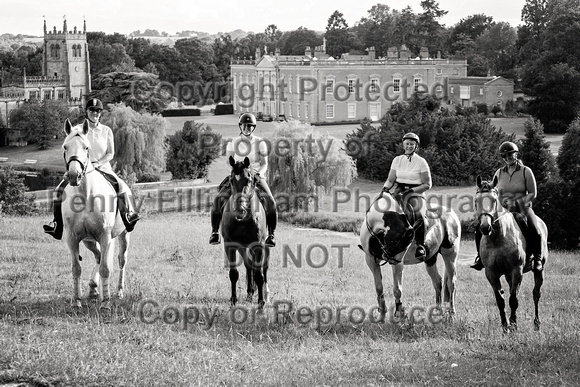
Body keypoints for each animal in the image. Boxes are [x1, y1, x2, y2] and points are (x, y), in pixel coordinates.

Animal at [60, 119, 129, 310]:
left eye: (86, 147)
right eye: (65, 147)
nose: (74, 175)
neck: (86, 195)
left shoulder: (105, 236)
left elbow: (106, 268)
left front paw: (105, 303)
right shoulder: (72, 238)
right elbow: (76, 268)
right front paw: (77, 301)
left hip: (122, 235)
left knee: (121, 260)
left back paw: (119, 292)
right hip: (88, 240)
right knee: (98, 256)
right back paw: (93, 289)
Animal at [222, 156, 270, 310]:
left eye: (249, 180)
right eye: (232, 180)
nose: (239, 210)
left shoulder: (259, 246)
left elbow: (259, 275)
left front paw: (261, 303)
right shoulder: (230, 245)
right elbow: (233, 274)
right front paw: (233, 301)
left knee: (263, 268)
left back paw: (266, 295)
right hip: (243, 247)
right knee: (249, 265)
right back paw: (250, 293)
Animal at [358, 191, 462, 322]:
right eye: (396, 240)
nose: (388, 258)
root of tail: (452, 214)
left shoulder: (398, 262)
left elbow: (397, 290)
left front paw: (399, 314)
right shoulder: (371, 261)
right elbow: (379, 288)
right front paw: (381, 315)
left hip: (450, 255)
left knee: (451, 284)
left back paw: (451, 314)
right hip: (430, 259)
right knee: (437, 282)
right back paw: (437, 312)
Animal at [474, 176, 548, 330]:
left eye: (494, 200)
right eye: (476, 201)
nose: (485, 227)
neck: (498, 238)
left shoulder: (516, 270)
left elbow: (513, 300)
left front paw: (513, 326)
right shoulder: (491, 273)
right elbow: (500, 300)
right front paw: (505, 326)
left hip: (539, 270)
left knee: (536, 294)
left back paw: (537, 324)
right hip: (508, 275)